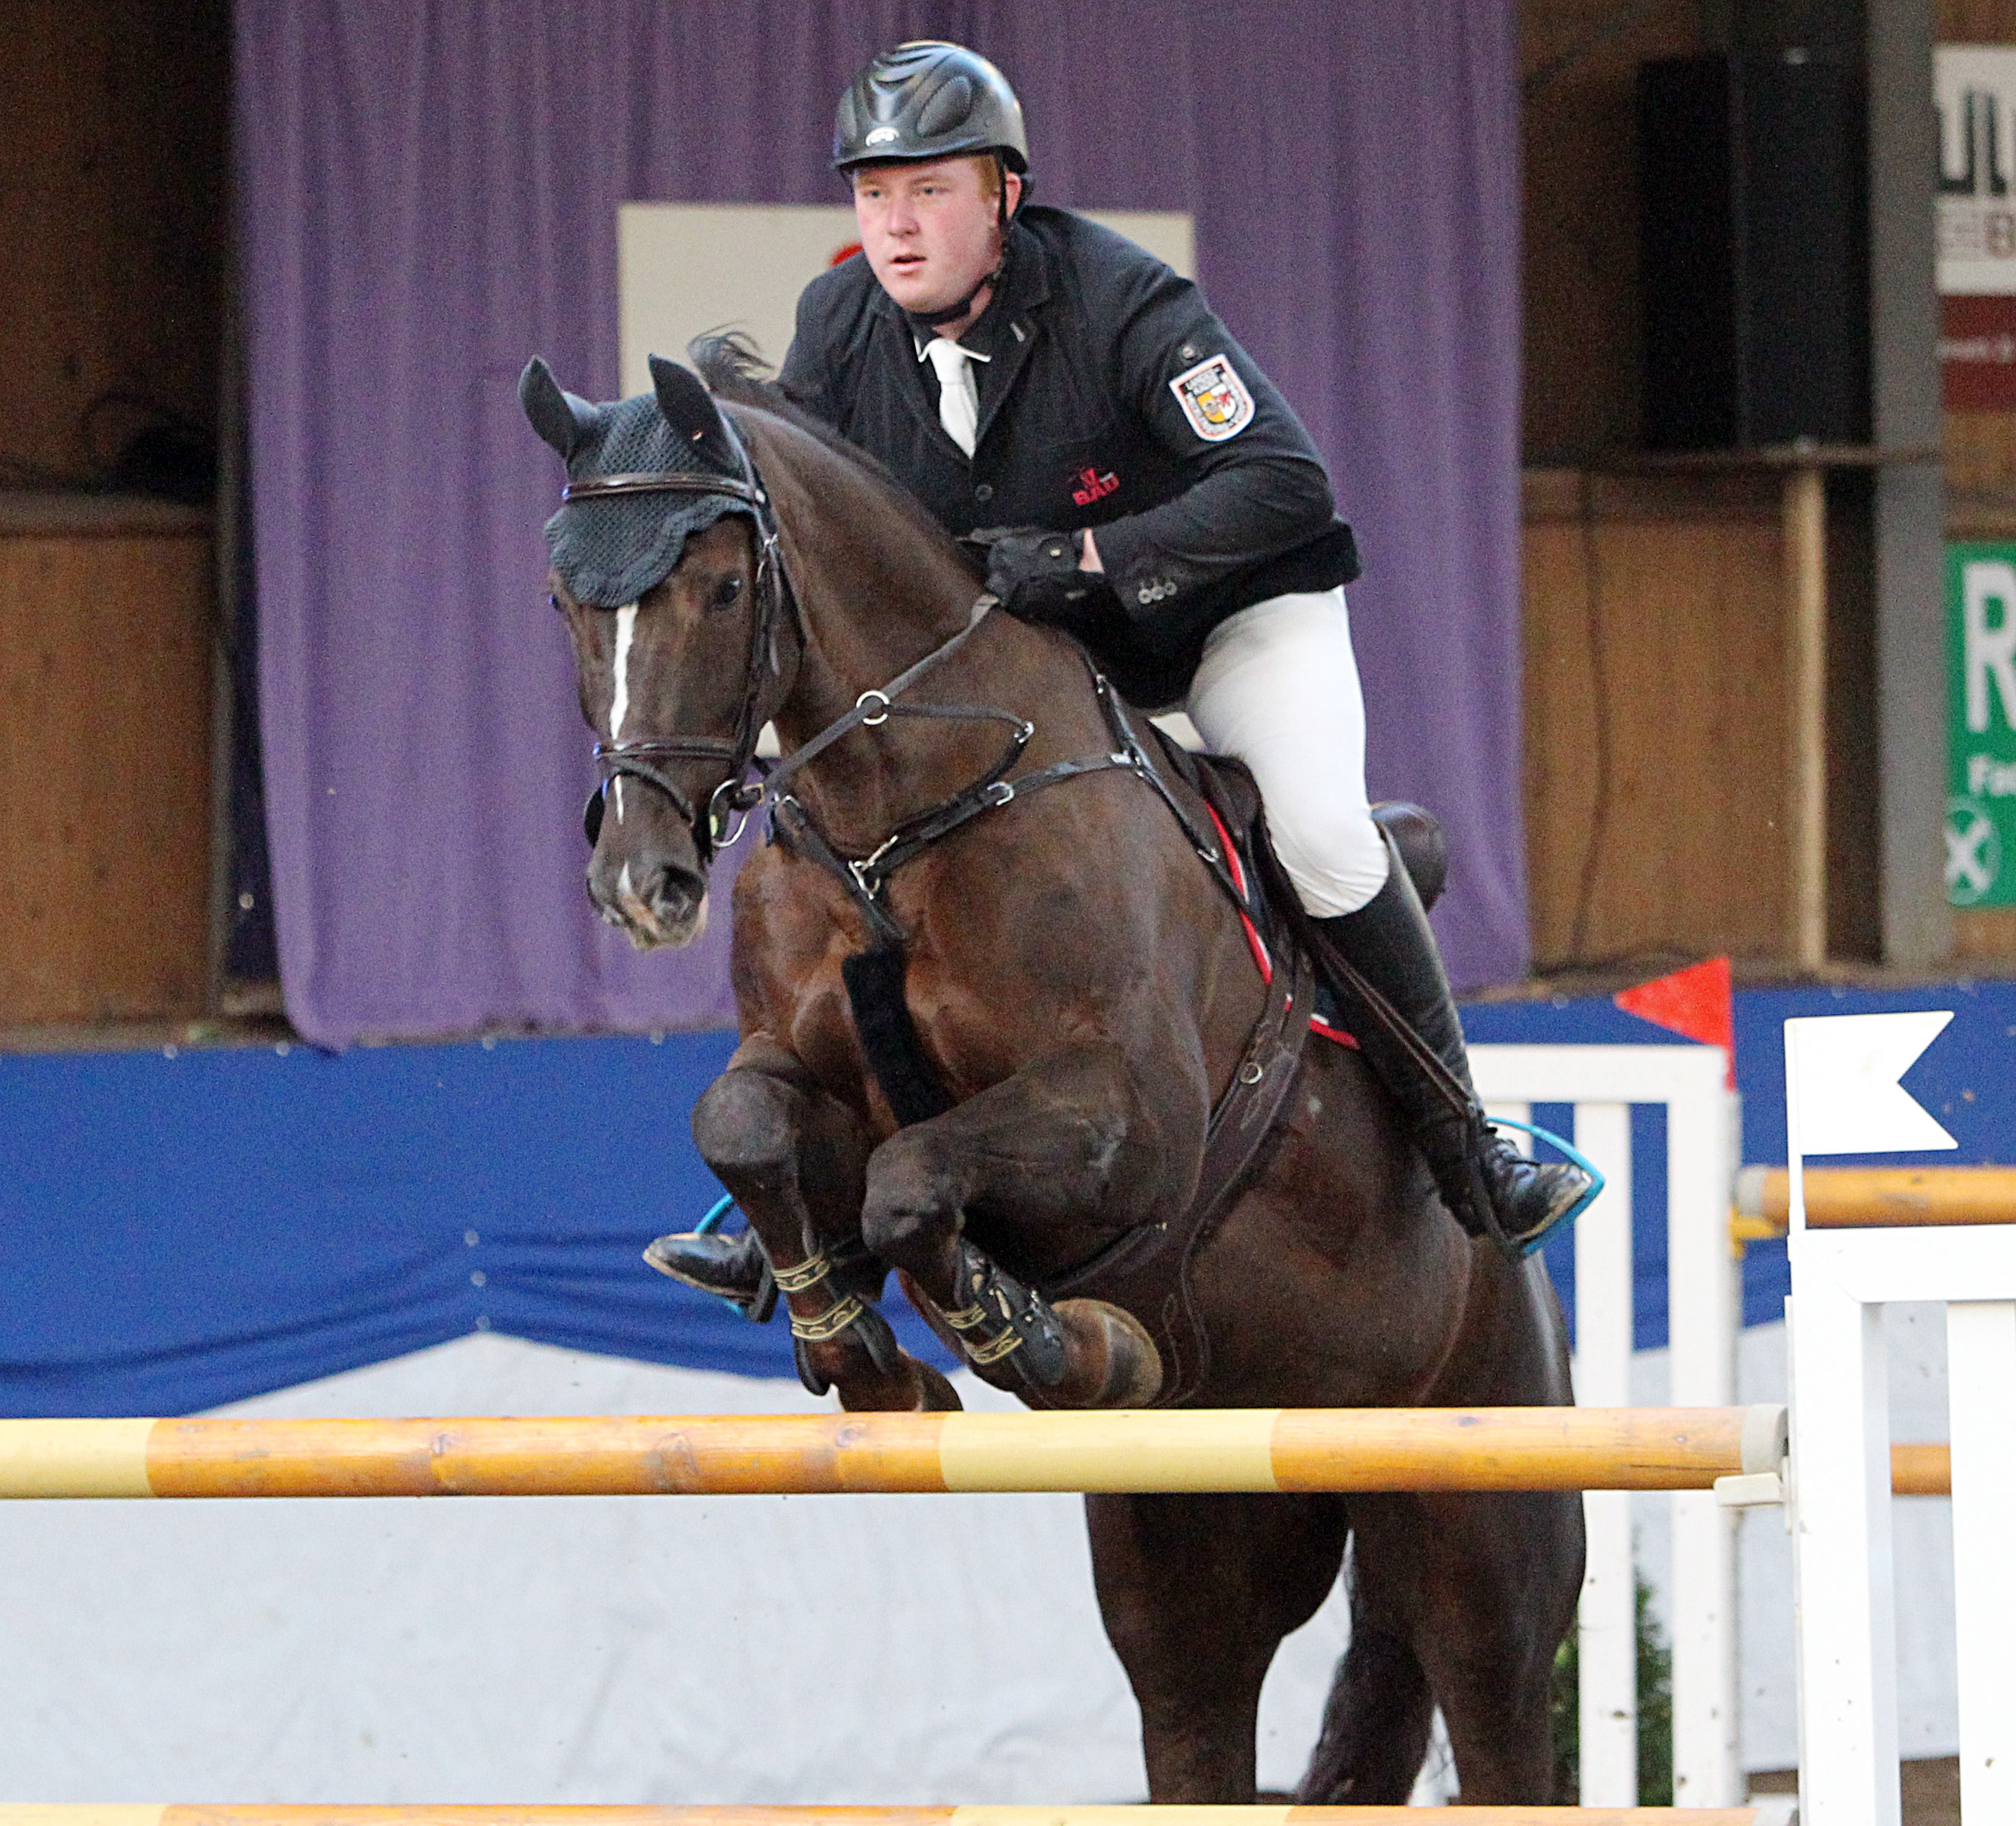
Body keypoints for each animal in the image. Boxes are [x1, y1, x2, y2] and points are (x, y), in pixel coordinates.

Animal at [524, 348, 1588, 1797]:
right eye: (565, 599)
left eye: (724, 587)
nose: (641, 882)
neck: (901, 809)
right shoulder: (796, 1070)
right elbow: (746, 1121)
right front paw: (857, 1343)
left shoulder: (1130, 1120)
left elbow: (915, 1181)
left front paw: (1024, 1331)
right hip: (1194, 1560)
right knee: (1196, 1702)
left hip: (1477, 1530)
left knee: (1494, 1695)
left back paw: (1500, 1178)